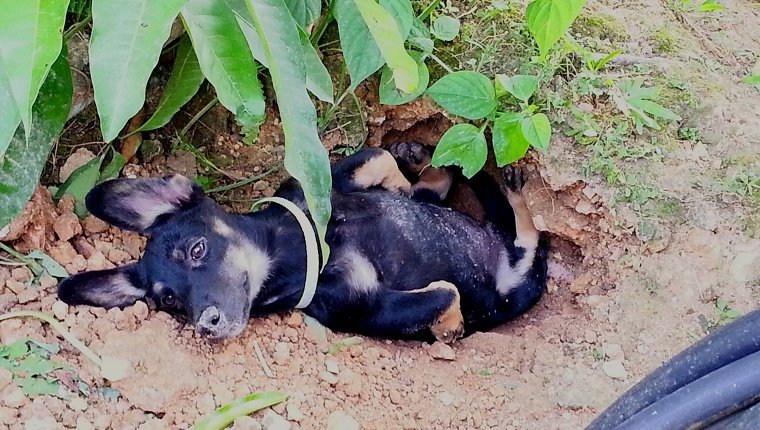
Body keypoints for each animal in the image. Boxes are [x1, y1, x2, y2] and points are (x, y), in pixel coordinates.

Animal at [58, 144, 548, 342]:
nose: (206, 324)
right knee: (526, 236)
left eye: (197, 250)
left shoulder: (321, 185)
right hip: (517, 288)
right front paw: (449, 328)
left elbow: (378, 157)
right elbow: (446, 293)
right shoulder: (366, 306)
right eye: (170, 302)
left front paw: (405, 187)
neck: (303, 245)